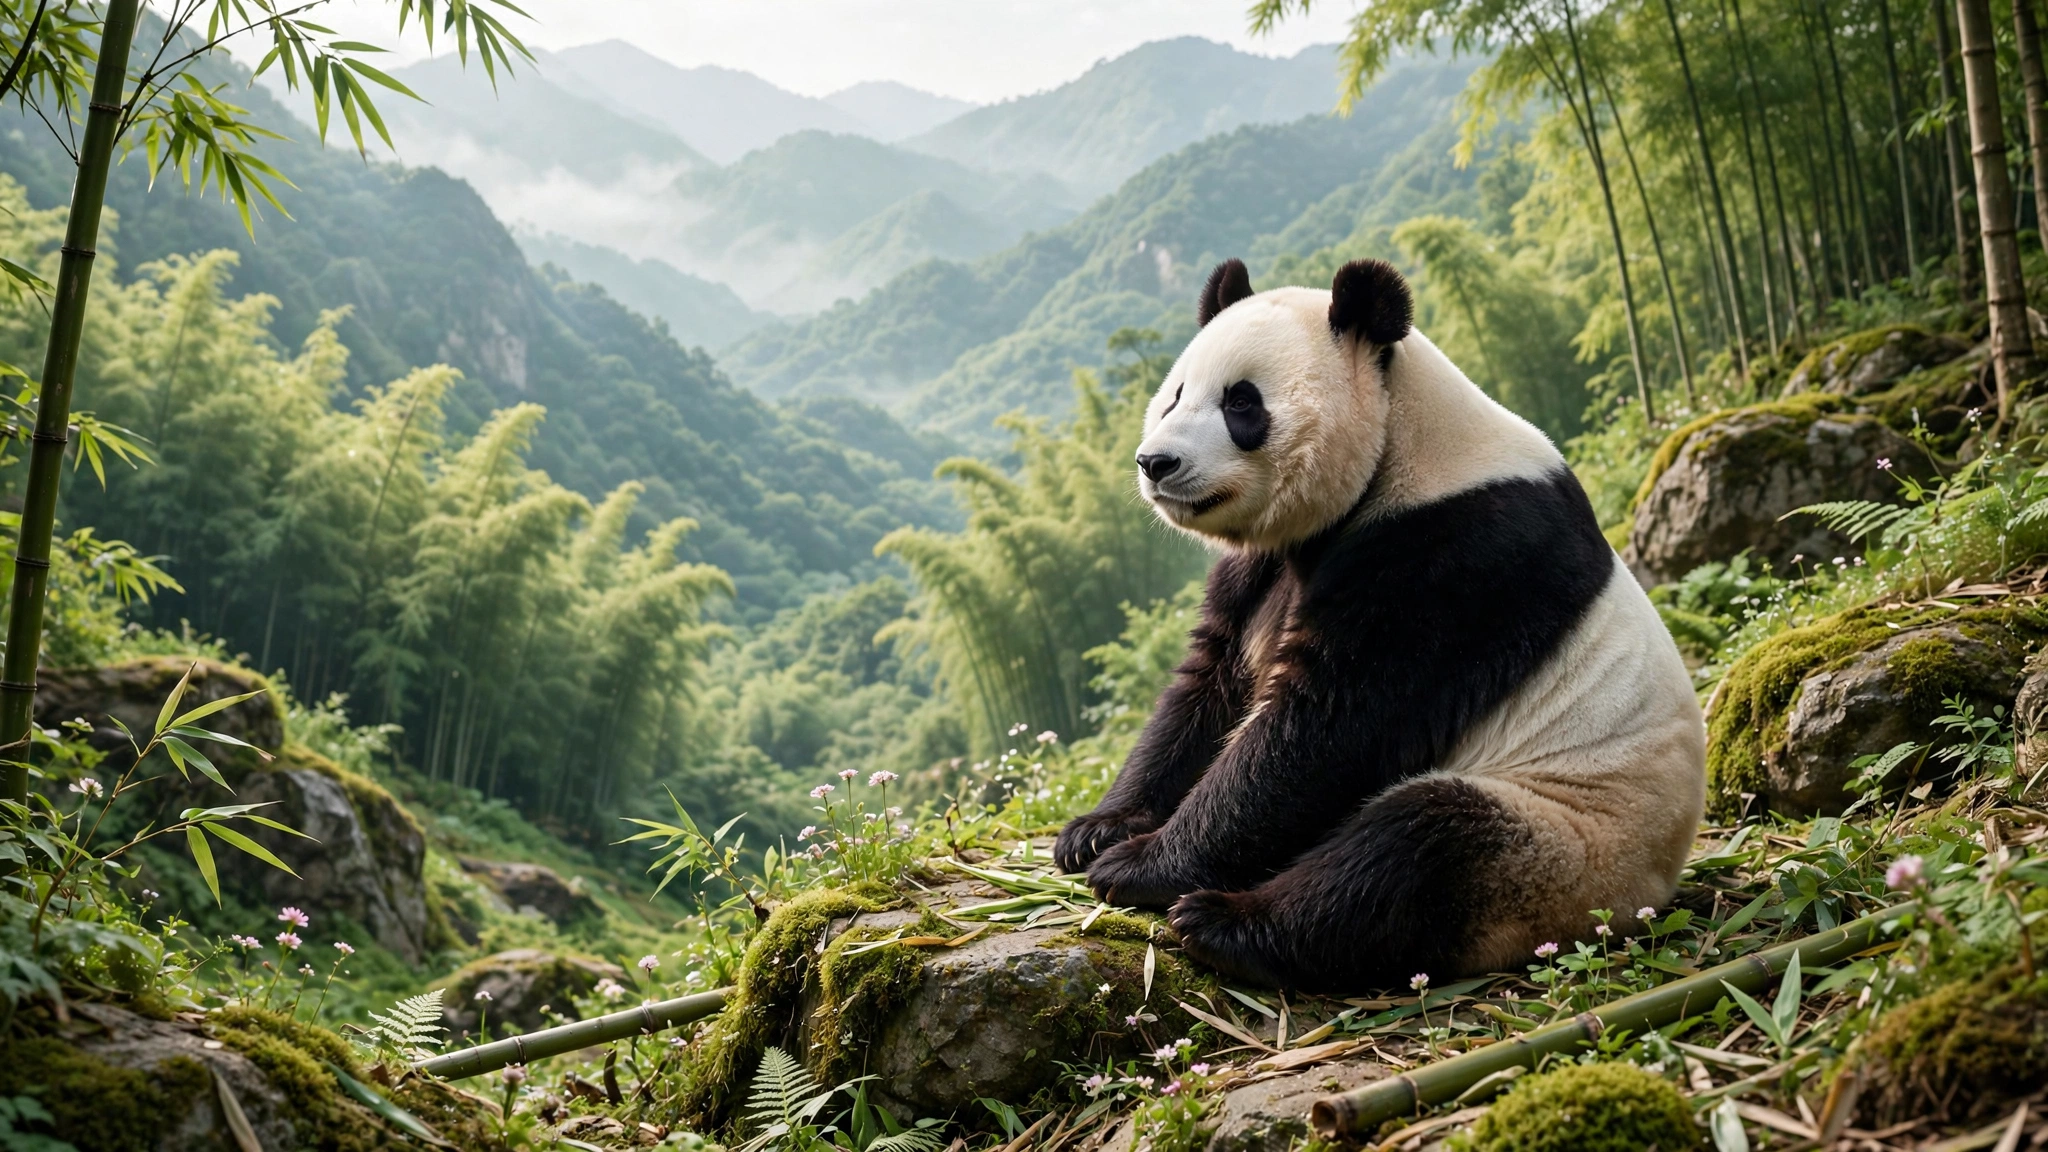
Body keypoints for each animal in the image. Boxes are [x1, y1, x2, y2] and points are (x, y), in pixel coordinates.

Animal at [1053, 257, 1706, 993]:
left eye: (1242, 403)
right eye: (1175, 395)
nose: (1157, 463)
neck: (1404, 442)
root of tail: (1649, 896)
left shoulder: (1455, 556)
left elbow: (1325, 730)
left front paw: (1137, 864)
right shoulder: (1261, 569)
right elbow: (1205, 689)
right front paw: (1097, 829)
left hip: (1565, 838)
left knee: (1414, 851)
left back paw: (1226, 923)